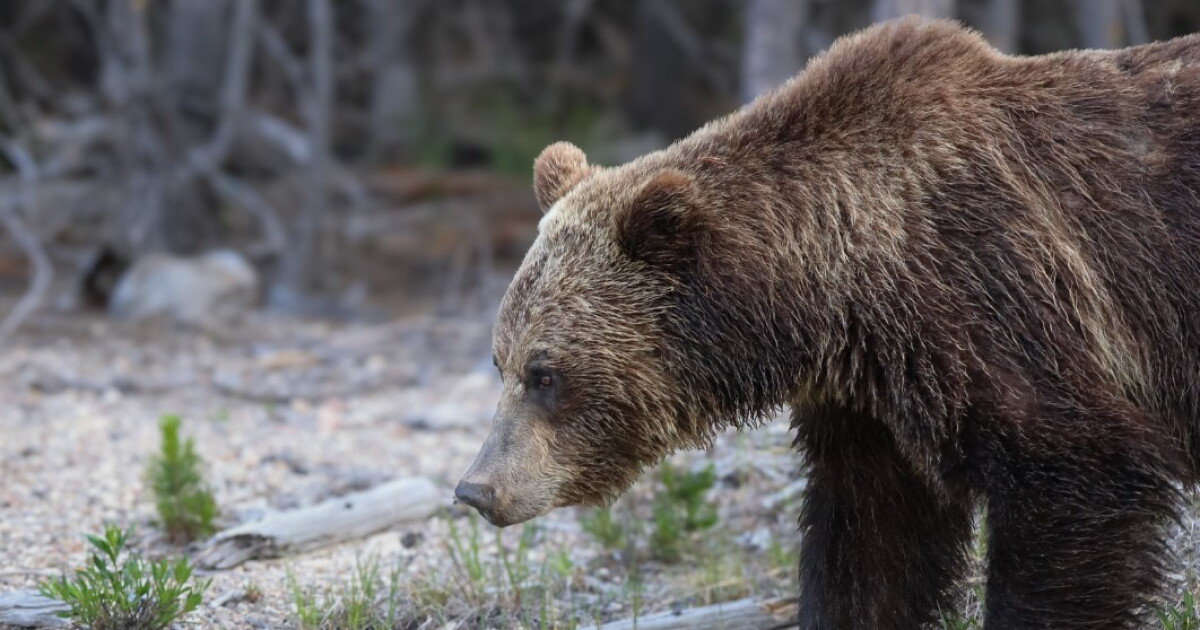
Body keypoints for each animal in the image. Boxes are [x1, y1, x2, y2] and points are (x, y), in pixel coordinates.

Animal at [454, 16, 1200, 630]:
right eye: (500, 362)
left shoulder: (998, 295)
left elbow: (1078, 476)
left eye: (545, 374)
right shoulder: (872, 405)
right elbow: (869, 545)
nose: (477, 489)